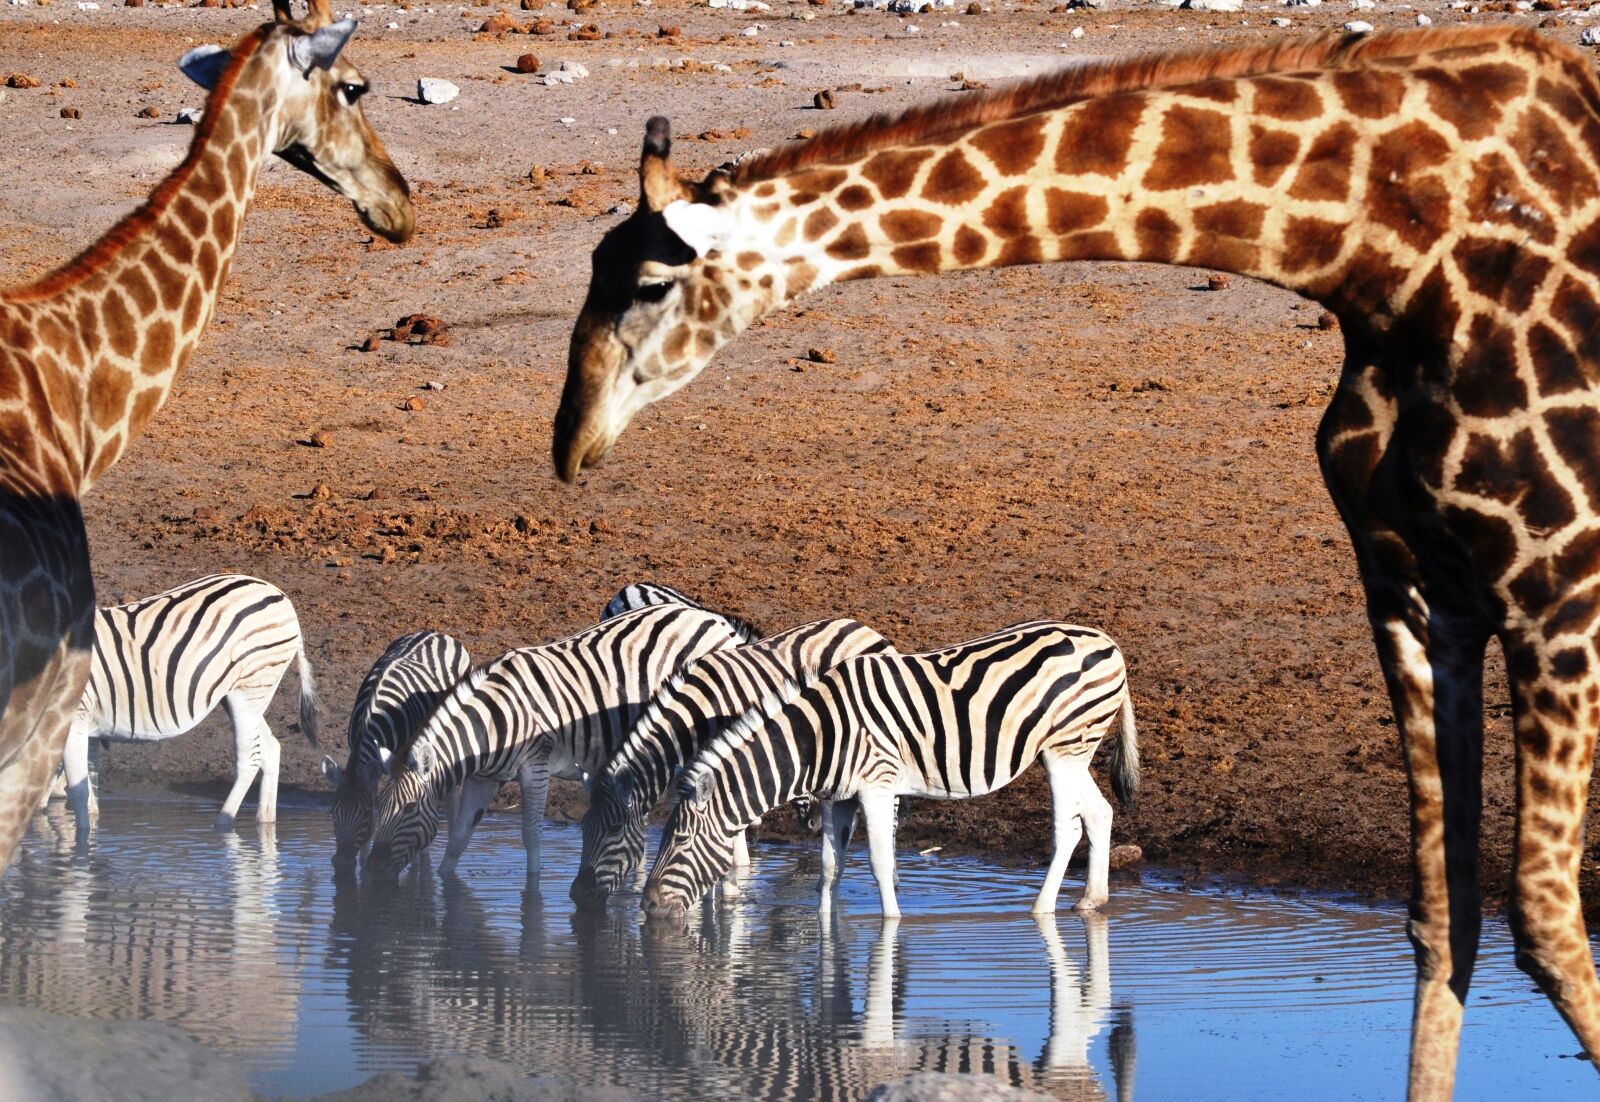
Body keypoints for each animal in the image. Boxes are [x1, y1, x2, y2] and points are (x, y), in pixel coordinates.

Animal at [552, 24, 1600, 1099]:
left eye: (647, 285)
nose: (568, 442)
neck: (1390, 244)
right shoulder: (1411, 584)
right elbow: (1443, 914)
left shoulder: (1553, 579)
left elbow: (1545, 919)